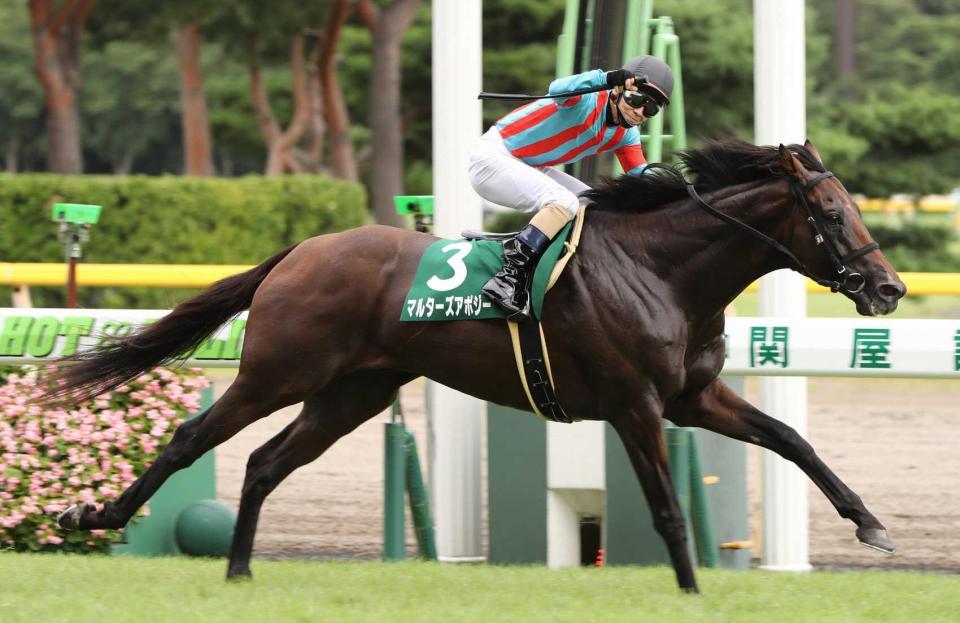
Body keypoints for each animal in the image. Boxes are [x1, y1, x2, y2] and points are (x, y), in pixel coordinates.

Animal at [47, 139, 905, 593]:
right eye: (834, 216)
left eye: (856, 210)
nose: (889, 287)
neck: (663, 271)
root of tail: (299, 250)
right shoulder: (634, 402)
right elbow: (667, 508)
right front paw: (691, 589)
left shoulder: (694, 396)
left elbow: (792, 440)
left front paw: (871, 524)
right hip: (278, 373)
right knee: (192, 438)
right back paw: (93, 515)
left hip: (353, 392)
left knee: (263, 462)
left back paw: (237, 571)